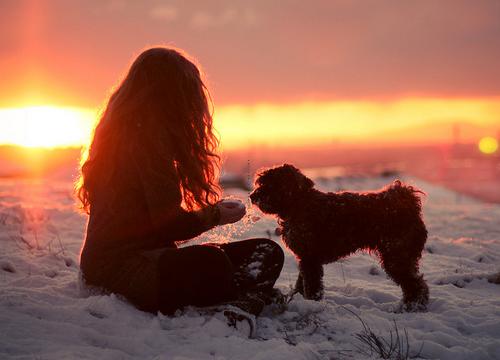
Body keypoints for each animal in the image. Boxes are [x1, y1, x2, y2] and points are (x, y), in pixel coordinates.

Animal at [250, 163, 430, 310]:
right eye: (261, 182)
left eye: (273, 183)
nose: (253, 196)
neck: (298, 204)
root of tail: (407, 203)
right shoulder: (305, 257)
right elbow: (301, 283)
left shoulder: (310, 258)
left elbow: (311, 285)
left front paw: (312, 302)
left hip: (396, 256)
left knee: (416, 284)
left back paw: (411, 307)